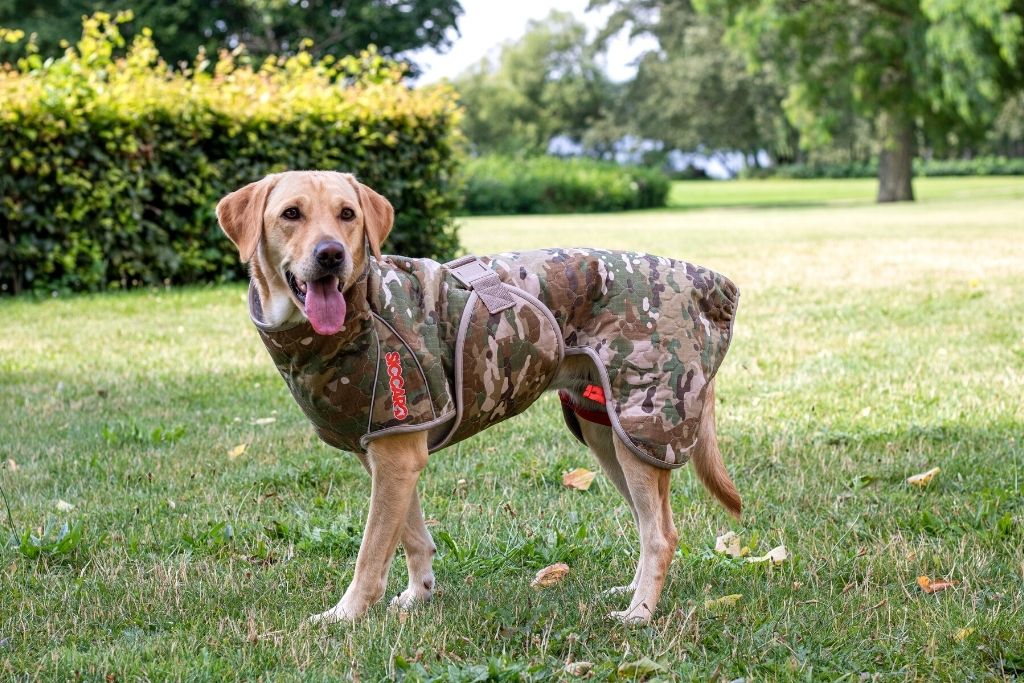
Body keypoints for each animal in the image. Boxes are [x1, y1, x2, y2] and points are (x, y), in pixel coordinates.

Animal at [218, 169, 745, 626]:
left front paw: (344, 616)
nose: (331, 254)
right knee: (648, 522)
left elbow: (370, 553)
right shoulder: (391, 450)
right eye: (291, 214)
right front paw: (418, 595)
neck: (361, 306)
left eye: (348, 214)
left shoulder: (396, 457)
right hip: (612, 435)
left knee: (662, 535)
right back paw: (632, 592)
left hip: (643, 428)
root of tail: (711, 284)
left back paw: (639, 614)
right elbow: (412, 536)